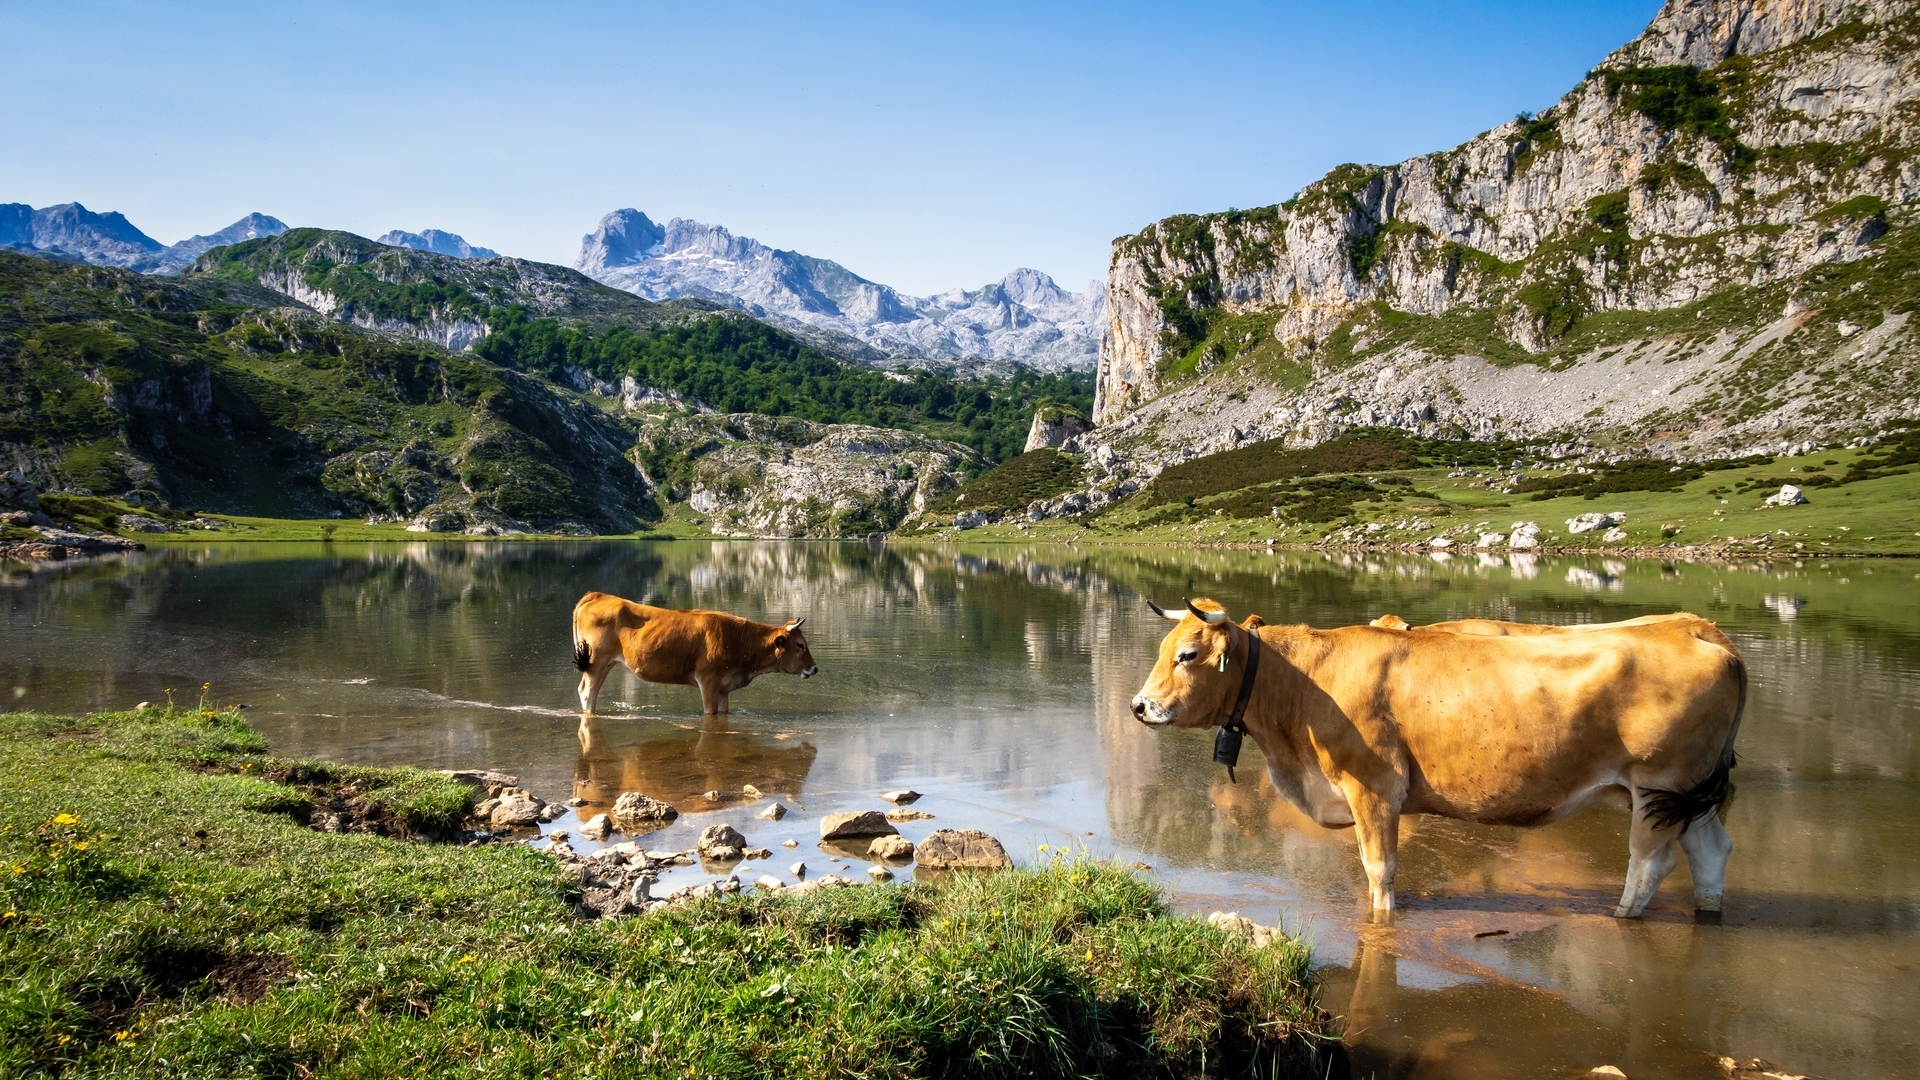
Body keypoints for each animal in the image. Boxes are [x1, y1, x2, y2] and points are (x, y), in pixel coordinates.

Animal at [570, 592, 818, 716]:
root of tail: (597, 595)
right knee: (587, 692)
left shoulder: (724, 688)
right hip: (596, 660)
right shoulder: (708, 681)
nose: (814, 668)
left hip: (604, 663)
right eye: (800, 645)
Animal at [1131, 599, 1744, 918]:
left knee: (1651, 863)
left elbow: (1379, 869)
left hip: (1658, 786)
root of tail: (1699, 629)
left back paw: (1623, 915)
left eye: (1187, 655)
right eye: (1164, 650)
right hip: (1689, 796)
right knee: (1712, 851)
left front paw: (1382, 917)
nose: (1138, 706)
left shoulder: (1375, 788)